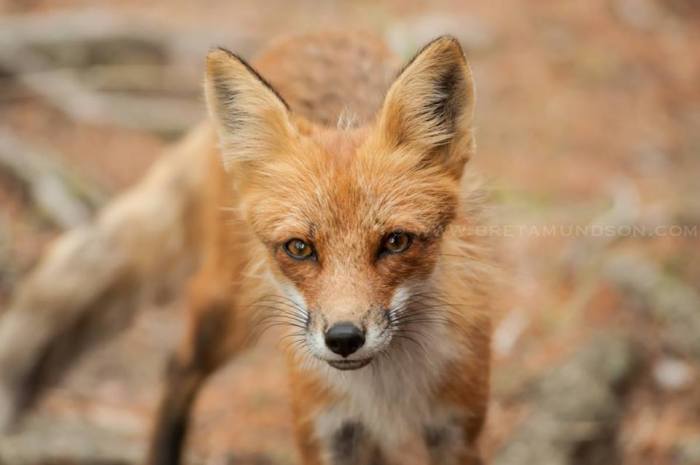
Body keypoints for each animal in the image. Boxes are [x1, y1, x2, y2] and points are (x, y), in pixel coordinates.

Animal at [147, 32, 494, 465]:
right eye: (299, 248)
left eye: (396, 241)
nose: (344, 339)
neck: (384, 390)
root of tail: (317, 34)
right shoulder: (325, 429)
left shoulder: (456, 429)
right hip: (227, 311)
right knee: (177, 368)